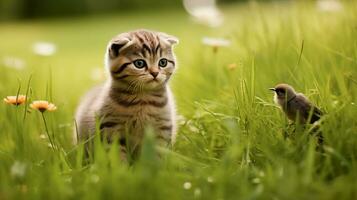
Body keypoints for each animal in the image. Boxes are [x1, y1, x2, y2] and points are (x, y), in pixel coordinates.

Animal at [75, 29, 179, 158]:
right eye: (139, 64)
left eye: (163, 62)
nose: (155, 73)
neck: (143, 99)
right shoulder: (111, 129)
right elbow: (118, 156)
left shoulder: (162, 128)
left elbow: (157, 154)